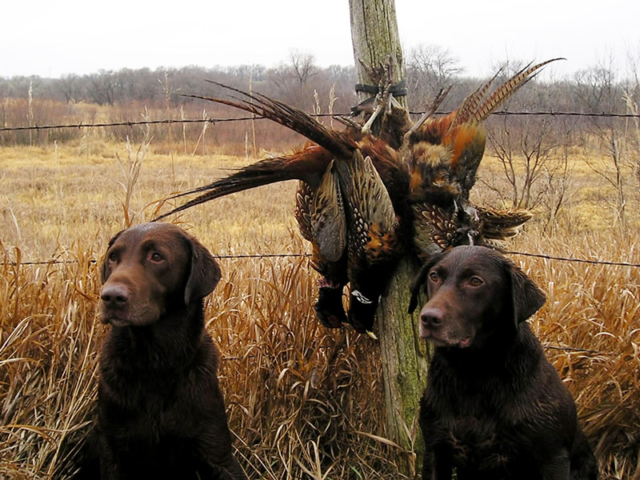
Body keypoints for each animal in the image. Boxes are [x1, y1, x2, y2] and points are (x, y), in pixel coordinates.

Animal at [96, 224, 246, 480]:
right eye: (113, 257)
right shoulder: (111, 449)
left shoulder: (217, 453)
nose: (111, 296)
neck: (156, 362)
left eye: (156, 256)